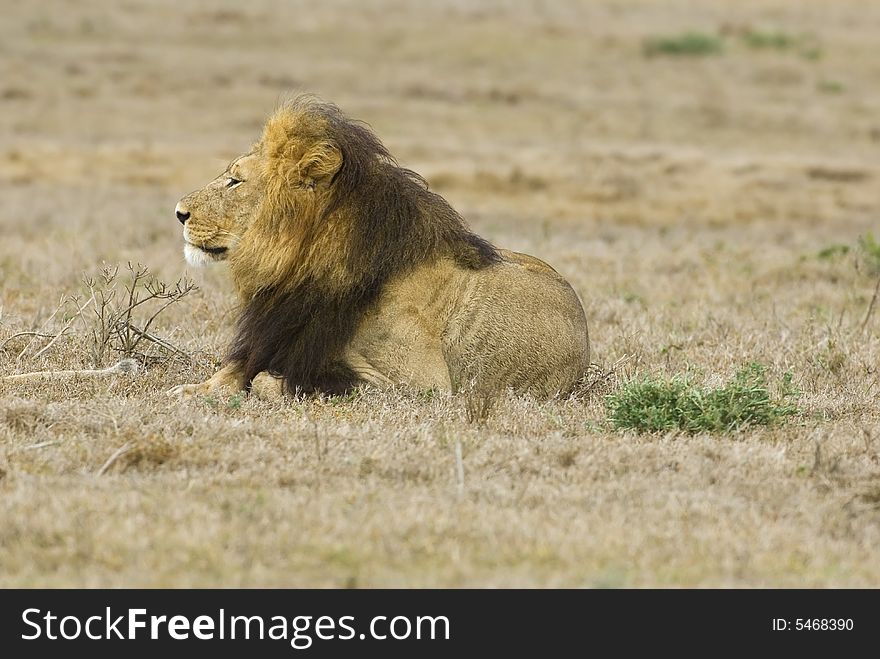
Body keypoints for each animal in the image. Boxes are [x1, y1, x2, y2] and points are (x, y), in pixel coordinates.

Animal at [168, 95, 588, 400]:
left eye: (235, 181)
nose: (179, 213)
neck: (301, 267)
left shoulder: (426, 384)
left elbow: (278, 381)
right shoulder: (276, 335)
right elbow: (228, 374)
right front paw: (188, 390)